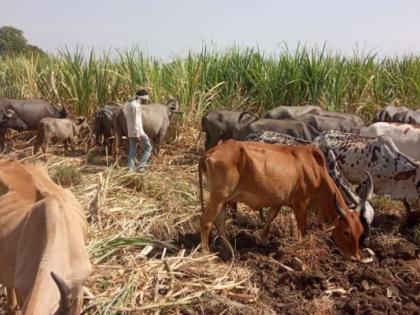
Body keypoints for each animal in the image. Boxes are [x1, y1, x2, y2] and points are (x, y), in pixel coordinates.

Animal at [199, 141, 362, 260]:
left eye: (360, 231)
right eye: (346, 232)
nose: (355, 258)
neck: (316, 171)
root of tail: (210, 151)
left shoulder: (278, 201)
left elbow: (271, 217)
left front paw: (263, 240)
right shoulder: (300, 203)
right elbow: (303, 229)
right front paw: (304, 249)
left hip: (224, 200)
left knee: (220, 222)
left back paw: (230, 250)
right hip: (218, 197)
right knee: (206, 221)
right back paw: (206, 254)